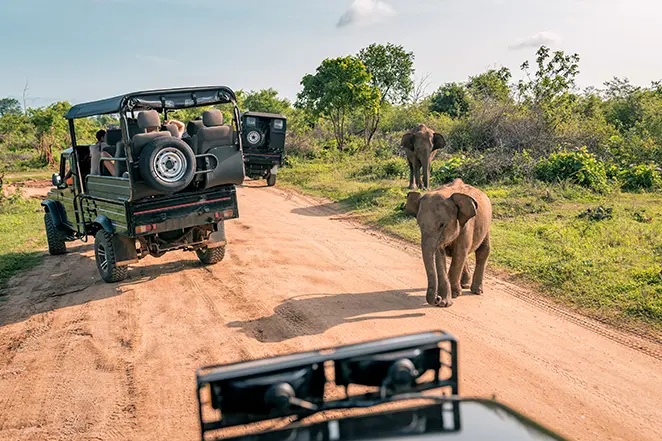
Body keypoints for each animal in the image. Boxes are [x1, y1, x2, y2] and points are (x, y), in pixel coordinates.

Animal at [404, 177, 492, 308]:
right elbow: (439, 256)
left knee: (482, 251)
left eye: (442, 225)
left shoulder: (466, 226)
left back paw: (476, 291)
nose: (437, 298)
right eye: (419, 224)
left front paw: (454, 294)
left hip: (486, 226)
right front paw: (445, 302)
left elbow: (459, 253)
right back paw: (465, 284)